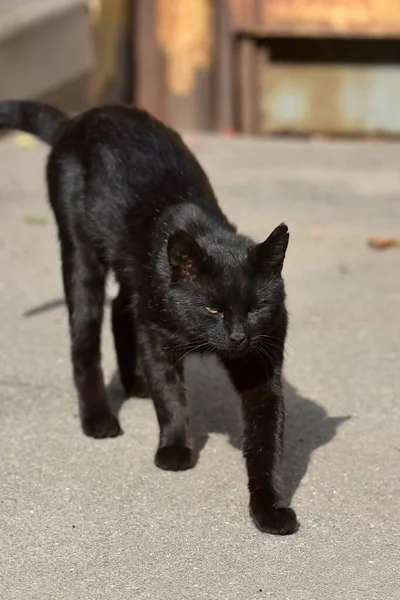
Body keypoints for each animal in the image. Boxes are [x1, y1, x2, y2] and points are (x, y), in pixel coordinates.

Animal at [0, 101, 298, 536]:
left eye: (256, 307)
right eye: (212, 308)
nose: (238, 336)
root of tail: (80, 118)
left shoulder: (262, 364)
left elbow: (267, 440)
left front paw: (271, 509)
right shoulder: (158, 338)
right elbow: (170, 396)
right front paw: (174, 449)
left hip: (129, 270)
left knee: (120, 310)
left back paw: (132, 383)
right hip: (81, 253)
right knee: (85, 338)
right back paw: (98, 418)